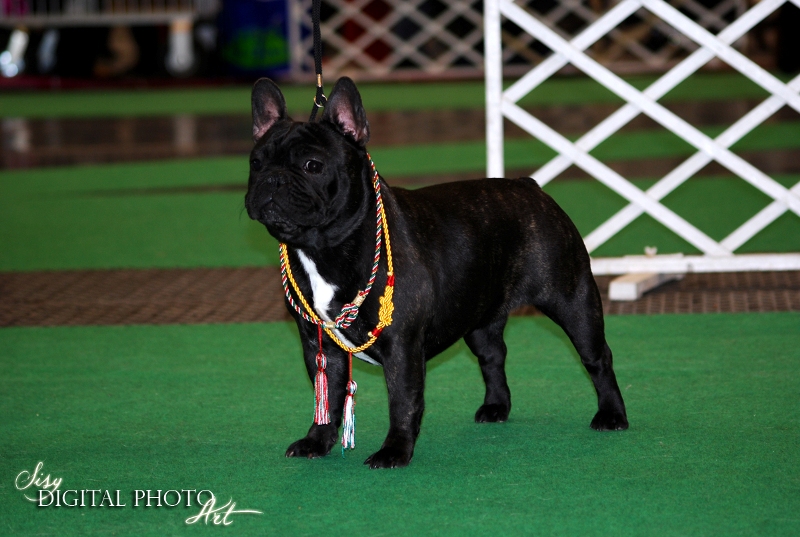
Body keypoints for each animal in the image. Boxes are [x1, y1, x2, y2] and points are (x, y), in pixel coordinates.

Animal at [245, 77, 628, 469]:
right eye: (256, 163)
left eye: (312, 165)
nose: (272, 180)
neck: (322, 247)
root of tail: (529, 186)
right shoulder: (319, 347)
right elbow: (327, 398)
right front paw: (317, 441)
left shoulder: (401, 346)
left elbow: (402, 400)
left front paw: (394, 450)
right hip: (479, 316)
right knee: (493, 356)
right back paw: (496, 407)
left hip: (573, 301)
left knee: (597, 357)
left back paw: (612, 415)